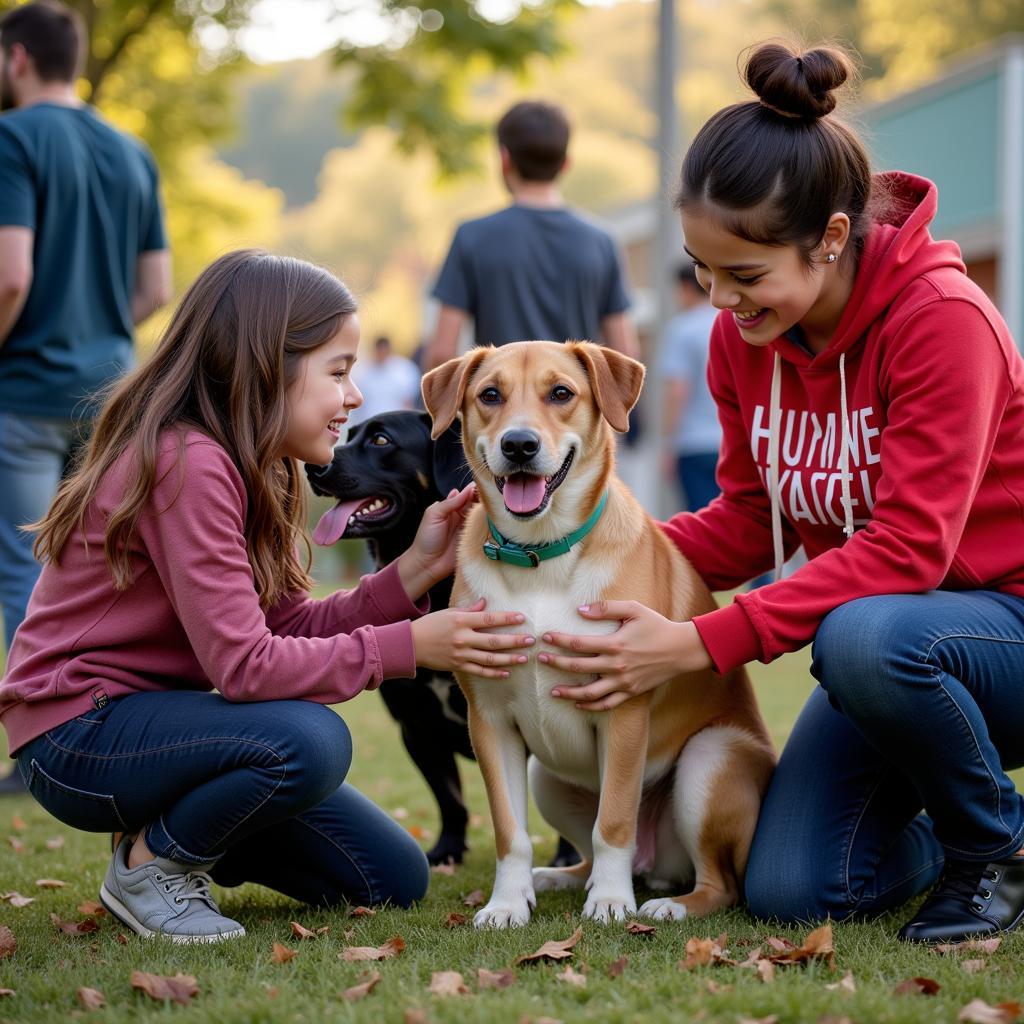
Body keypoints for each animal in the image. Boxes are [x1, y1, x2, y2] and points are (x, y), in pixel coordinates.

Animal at [419, 344, 770, 929]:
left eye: (561, 392)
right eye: (489, 394)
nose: (519, 444)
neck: (540, 556)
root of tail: (659, 866)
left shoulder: (623, 711)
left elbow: (614, 823)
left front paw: (609, 900)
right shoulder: (490, 721)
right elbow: (510, 833)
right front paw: (508, 902)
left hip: (710, 757)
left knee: (719, 884)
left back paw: (668, 903)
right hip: (545, 775)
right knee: (586, 849)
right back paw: (560, 877)